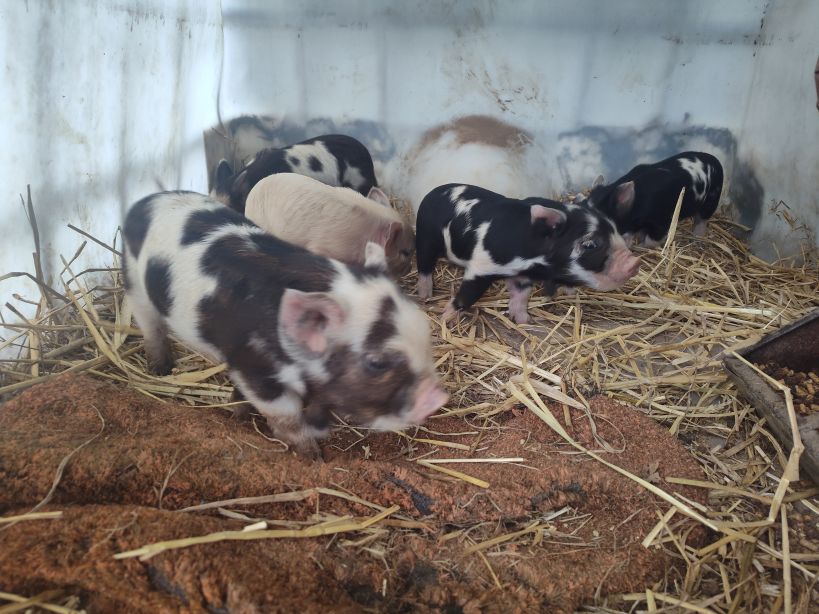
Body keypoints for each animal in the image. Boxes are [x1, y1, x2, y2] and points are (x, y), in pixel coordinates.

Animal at [122, 191, 447, 457]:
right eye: (377, 362)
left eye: (424, 331)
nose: (438, 397)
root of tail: (143, 201)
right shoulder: (257, 368)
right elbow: (286, 417)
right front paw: (312, 455)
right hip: (135, 283)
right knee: (150, 324)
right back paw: (160, 369)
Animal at [415, 184, 641, 324]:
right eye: (590, 244)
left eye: (616, 231)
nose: (635, 262)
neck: (530, 258)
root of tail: (432, 193)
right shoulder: (481, 267)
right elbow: (466, 296)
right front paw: (444, 318)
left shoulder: (520, 275)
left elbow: (522, 296)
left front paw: (525, 321)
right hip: (426, 238)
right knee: (424, 266)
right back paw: (425, 296)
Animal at [587, 152, 724, 247]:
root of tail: (716, 160)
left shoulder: (661, 221)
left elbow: (652, 240)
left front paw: (641, 245)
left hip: (712, 197)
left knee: (702, 219)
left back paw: (697, 239)